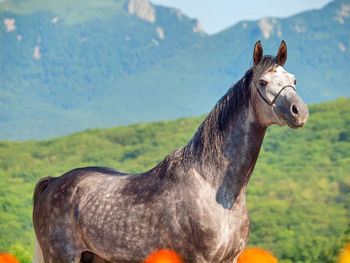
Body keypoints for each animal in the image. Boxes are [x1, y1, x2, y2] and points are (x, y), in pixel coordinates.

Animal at [31, 40, 308, 262]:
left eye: (293, 80)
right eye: (263, 82)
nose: (300, 111)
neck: (215, 188)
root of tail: (54, 182)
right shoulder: (197, 258)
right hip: (63, 257)